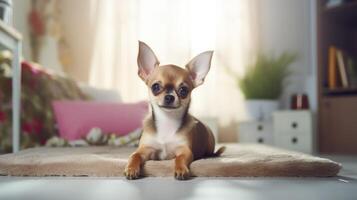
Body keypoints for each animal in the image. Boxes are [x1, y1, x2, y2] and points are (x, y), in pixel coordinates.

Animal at [124, 41, 224, 180]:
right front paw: (131, 168)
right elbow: (134, 155)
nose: (169, 96)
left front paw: (181, 169)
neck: (167, 121)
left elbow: (179, 158)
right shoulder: (145, 149)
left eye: (183, 90)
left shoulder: (185, 150)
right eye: (155, 87)